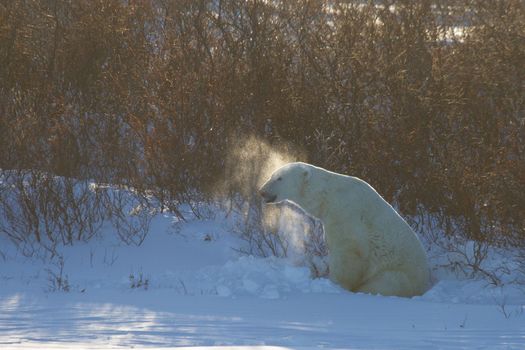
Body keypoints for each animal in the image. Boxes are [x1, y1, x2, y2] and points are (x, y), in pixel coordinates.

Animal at [258, 163, 430, 296]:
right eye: (272, 174)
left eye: (279, 178)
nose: (262, 191)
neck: (327, 196)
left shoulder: (345, 213)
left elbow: (348, 253)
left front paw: (336, 285)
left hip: (397, 274)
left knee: (383, 284)